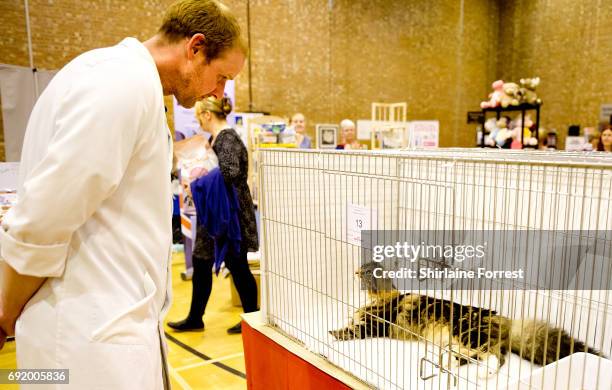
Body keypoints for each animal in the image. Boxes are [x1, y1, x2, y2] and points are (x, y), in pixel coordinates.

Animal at [330, 262, 604, 378]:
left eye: (366, 271)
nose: (355, 271)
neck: (383, 297)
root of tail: (504, 321)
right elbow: (351, 317)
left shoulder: (374, 324)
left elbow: (352, 329)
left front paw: (333, 333)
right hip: (464, 339)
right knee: (481, 356)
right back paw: (447, 362)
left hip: (467, 332)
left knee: (492, 358)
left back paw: (460, 366)